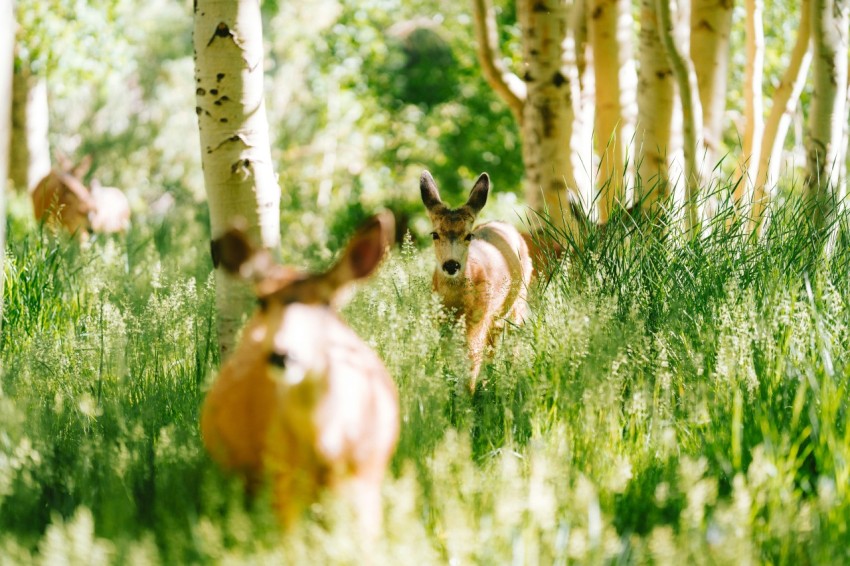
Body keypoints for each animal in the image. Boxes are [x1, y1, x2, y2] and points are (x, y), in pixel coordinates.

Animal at [201, 212, 400, 538]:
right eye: (262, 301)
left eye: (327, 303)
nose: (283, 354)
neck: (326, 449)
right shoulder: (282, 480)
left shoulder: (365, 480)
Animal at [420, 170, 533, 393]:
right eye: (435, 234)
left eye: (468, 235)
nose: (451, 265)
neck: (455, 304)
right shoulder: (440, 322)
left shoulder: (478, 319)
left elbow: (471, 361)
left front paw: (466, 396)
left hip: (516, 302)